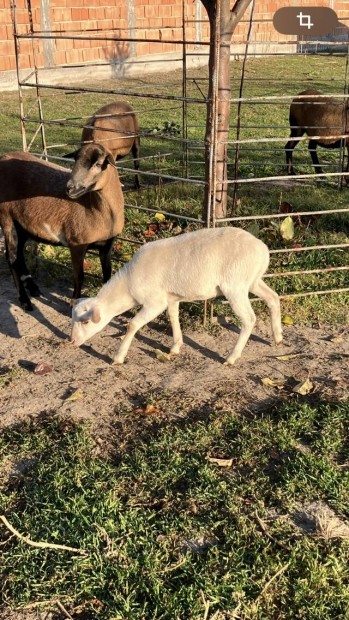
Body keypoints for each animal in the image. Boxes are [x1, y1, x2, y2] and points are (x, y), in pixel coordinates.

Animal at [0, 143, 124, 312]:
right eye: (75, 160)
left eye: (98, 164)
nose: (70, 188)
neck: (93, 207)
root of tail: (3, 157)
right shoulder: (77, 244)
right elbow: (79, 276)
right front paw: (74, 303)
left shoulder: (108, 244)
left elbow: (107, 275)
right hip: (6, 216)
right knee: (11, 257)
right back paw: (25, 301)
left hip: (22, 223)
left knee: (18, 254)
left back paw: (33, 287)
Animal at [69, 226, 282, 364]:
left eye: (86, 321)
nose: (71, 341)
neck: (128, 285)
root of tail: (263, 250)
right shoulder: (170, 298)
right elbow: (173, 317)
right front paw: (175, 347)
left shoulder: (154, 302)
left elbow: (133, 325)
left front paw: (118, 358)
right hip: (252, 280)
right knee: (273, 298)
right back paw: (278, 337)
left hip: (235, 285)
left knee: (249, 319)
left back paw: (231, 357)